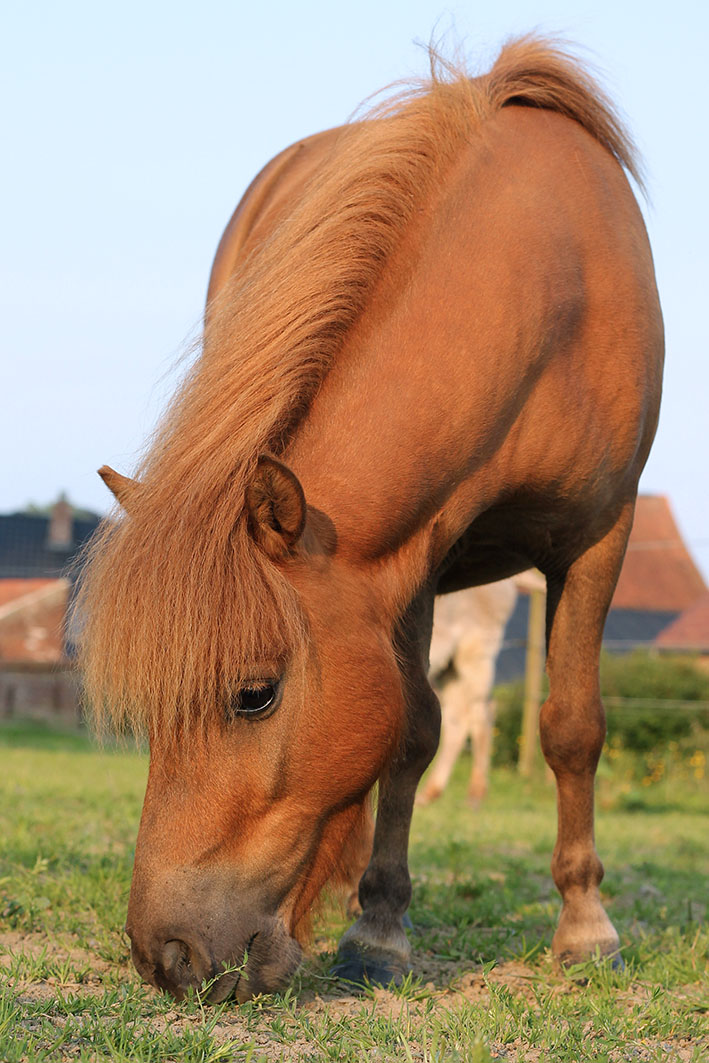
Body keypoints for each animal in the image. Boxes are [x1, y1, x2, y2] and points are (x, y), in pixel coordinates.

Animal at [418, 574, 548, 803]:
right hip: (449, 666)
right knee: (457, 719)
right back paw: (430, 793)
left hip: (476, 651)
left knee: (481, 712)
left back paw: (475, 794)